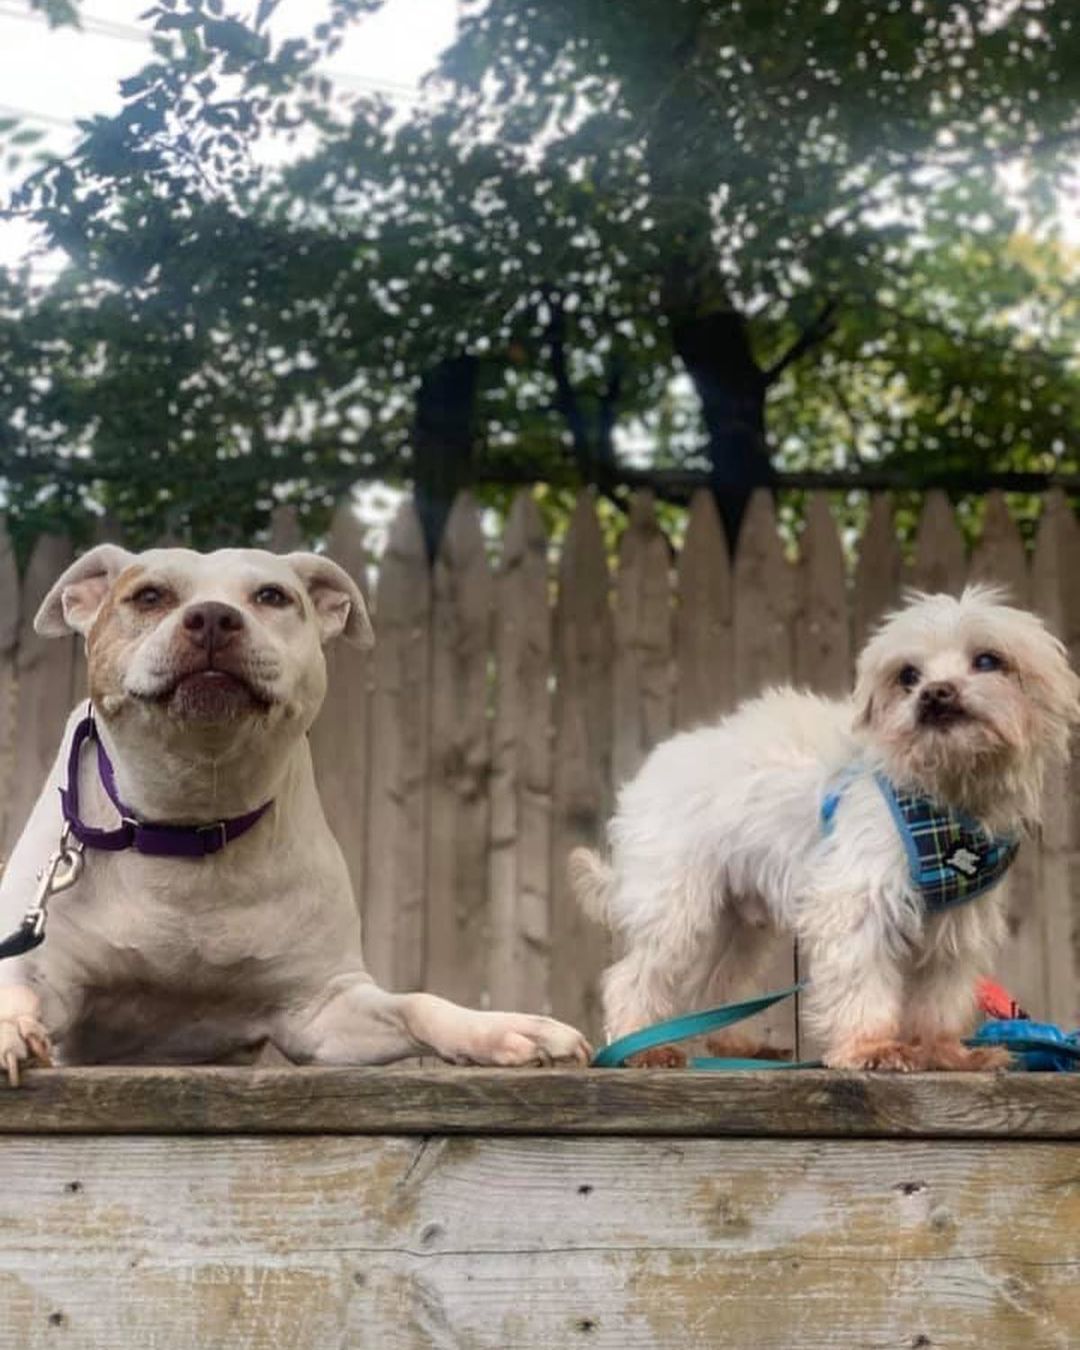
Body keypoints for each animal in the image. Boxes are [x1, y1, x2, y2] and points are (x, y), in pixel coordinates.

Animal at [572, 585, 1080, 1069]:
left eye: (988, 660)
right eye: (907, 675)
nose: (934, 692)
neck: (943, 795)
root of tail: (648, 775)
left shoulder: (953, 924)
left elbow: (939, 998)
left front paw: (944, 1053)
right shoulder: (857, 900)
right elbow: (863, 980)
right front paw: (871, 1047)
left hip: (734, 922)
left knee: (714, 983)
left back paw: (737, 1043)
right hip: (676, 907)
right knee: (630, 978)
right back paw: (641, 1048)